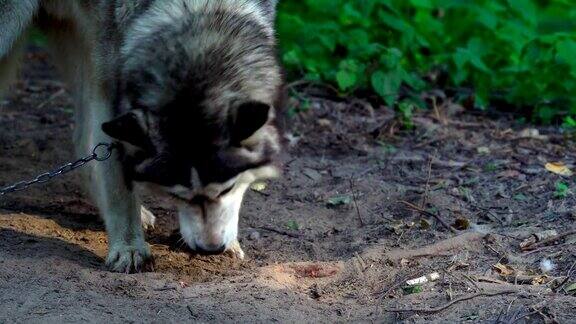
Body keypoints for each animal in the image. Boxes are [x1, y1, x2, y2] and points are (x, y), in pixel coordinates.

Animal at [0, 0, 284, 272]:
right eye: (177, 196)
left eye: (227, 189)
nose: (210, 249)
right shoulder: (113, 99)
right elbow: (119, 186)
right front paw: (128, 248)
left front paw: (231, 242)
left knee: (82, 142)